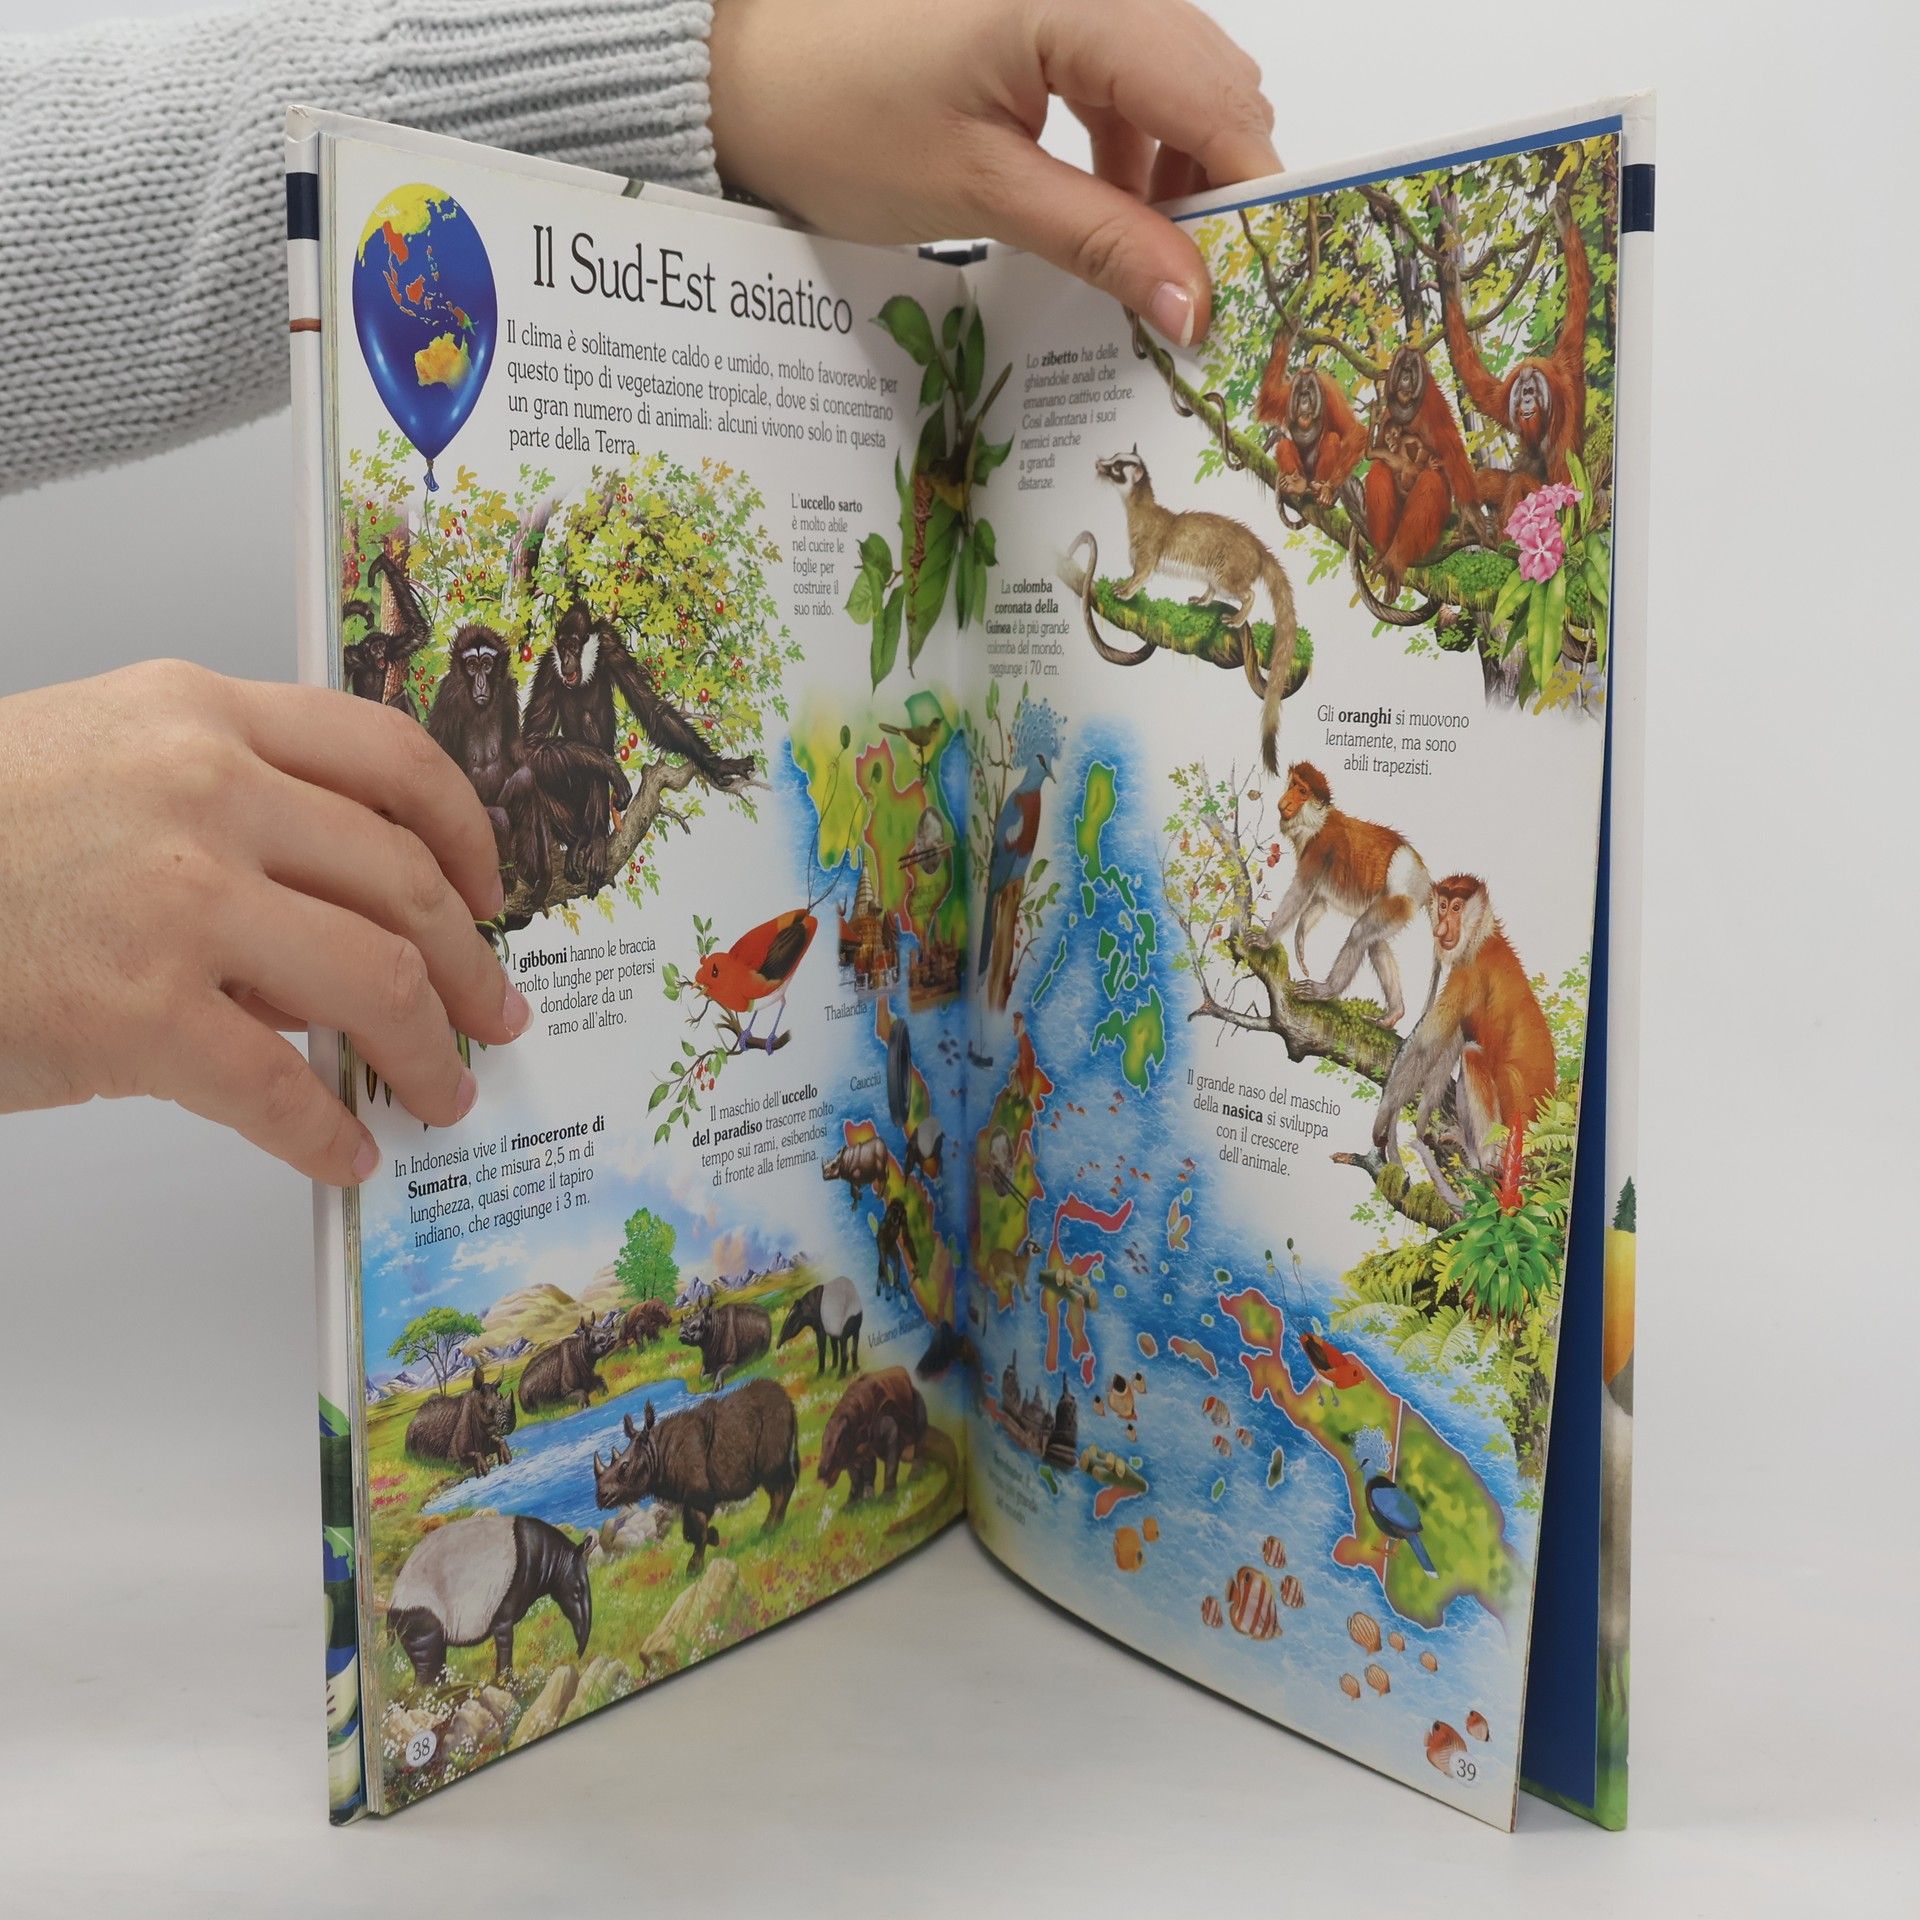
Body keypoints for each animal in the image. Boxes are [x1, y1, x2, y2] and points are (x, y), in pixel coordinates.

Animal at [1092, 448, 1301, 775]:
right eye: (1113, 456)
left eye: (1116, 466)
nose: (1098, 463)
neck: (1139, 518)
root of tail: (1259, 549)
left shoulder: (1147, 554)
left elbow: (1140, 576)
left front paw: (1123, 591)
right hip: (1215, 576)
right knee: (1215, 590)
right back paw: (1201, 599)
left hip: (1228, 574)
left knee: (1249, 593)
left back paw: (1236, 617)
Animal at [1261, 762, 1431, 1027]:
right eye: (1292, 785)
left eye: (1302, 791)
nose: (1284, 802)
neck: (1318, 821)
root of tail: (1423, 879)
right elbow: (1318, 902)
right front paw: (1299, 942)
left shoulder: (1320, 847)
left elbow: (1300, 892)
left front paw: (1265, 939)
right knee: (1375, 943)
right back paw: (1393, 1014)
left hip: (1401, 894)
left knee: (1360, 933)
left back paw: (1326, 991)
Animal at [1371, 874, 1557, 1209]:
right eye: (1443, 905)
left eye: (1457, 907)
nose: (1442, 929)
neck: (1482, 936)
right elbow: (1444, 1050)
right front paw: (1421, 1121)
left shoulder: (1469, 973)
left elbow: (1426, 1047)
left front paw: (1382, 1121)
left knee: (1472, 1055)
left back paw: (1485, 1164)